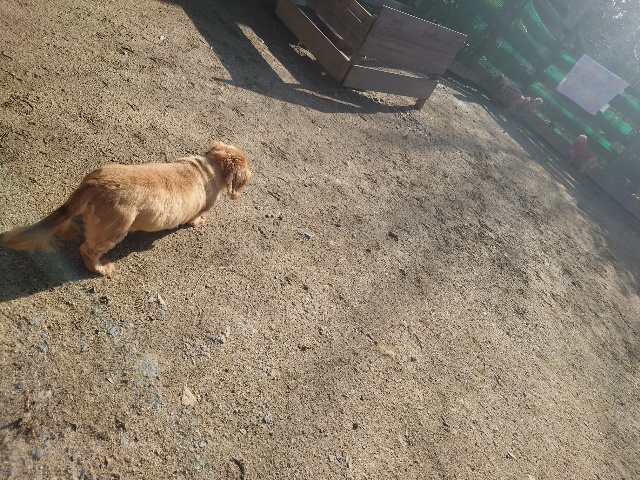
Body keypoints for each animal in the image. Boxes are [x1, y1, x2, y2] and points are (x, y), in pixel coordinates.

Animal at [3, 141, 251, 275]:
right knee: (87, 250)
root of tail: (95, 184)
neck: (208, 167)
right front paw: (199, 222)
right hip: (114, 231)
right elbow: (197, 217)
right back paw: (101, 268)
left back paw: (70, 230)